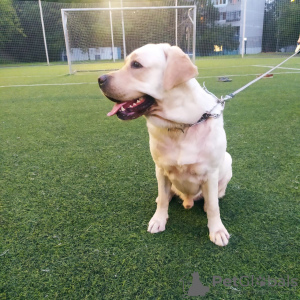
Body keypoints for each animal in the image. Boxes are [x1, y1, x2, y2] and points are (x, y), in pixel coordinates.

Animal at [98, 44, 232, 246]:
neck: (180, 125)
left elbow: (214, 207)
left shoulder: (210, 172)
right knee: (164, 195)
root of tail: (188, 199)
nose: (99, 79)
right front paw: (158, 220)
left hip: (227, 162)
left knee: (214, 197)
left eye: (136, 65)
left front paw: (217, 230)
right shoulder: (160, 169)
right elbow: (162, 200)